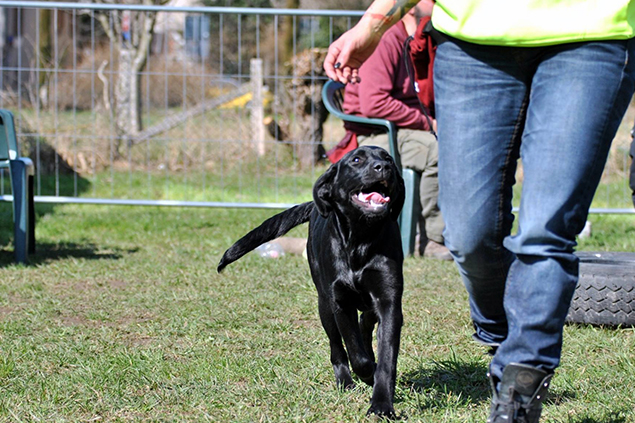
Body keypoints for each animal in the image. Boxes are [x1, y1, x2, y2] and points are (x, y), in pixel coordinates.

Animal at [219, 147, 408, 420]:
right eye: (356, 160)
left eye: (389, 159)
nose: (384, 168)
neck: (360, 239)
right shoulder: (340, 302)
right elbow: (355, 353)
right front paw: (367, 374)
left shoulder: (389, 299)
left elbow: (386, 359)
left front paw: (382, 405)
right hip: (324, 305)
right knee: (337, 349)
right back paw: (345, 382)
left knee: (366, 322)